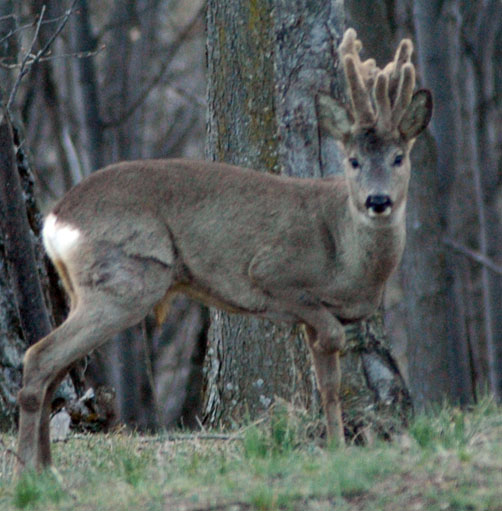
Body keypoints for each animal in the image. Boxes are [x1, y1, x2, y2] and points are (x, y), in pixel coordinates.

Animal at [15, 29, 432, 472]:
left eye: (399, 157)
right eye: (352, 161)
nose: (378, 201)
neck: (345, 255)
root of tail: (55, 219)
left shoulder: (313, 315)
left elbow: (329, 383)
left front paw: (336, 446)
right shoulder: (273, 274)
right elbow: (333, 340)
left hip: (84, 289)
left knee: (55, 369)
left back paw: (45, 466)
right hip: (125, 282)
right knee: (38, 357)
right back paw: (26, 469)